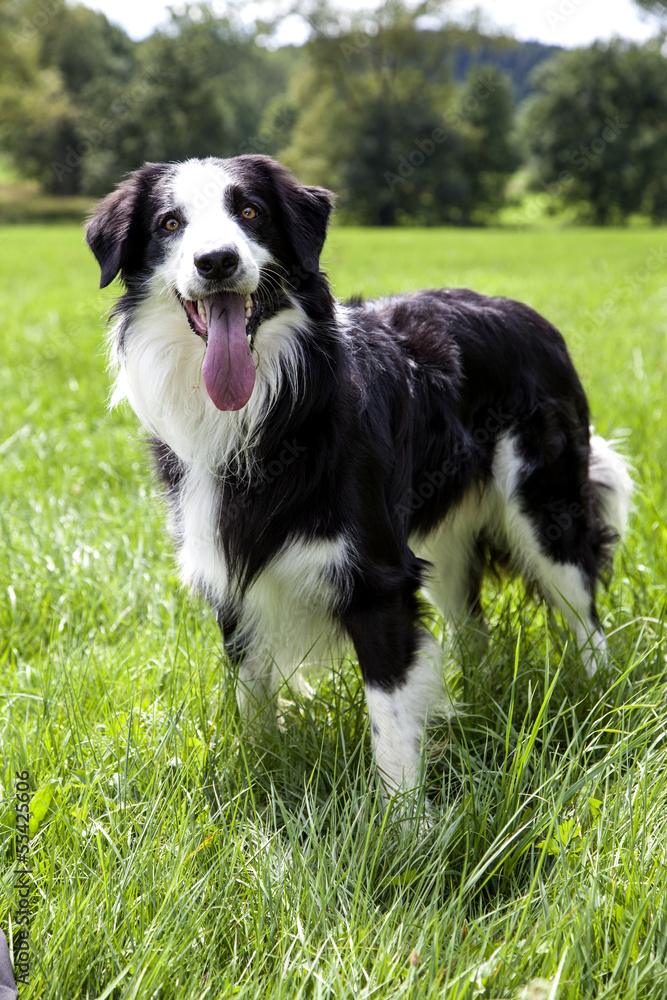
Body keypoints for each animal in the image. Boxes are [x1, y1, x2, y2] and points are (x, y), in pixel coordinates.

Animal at [86, 154, 636, 796]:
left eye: (249, 211)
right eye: (170, 223)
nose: (217, 261)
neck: (272, 404)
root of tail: (528, 314)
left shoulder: (378, 578)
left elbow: (391, 721)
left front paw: (404, 818)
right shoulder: (230, 570)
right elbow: (252, 694)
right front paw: (266, 771)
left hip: (543, 504)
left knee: (583, 609)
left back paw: (597, 694)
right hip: (445, 541)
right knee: (471, 625)